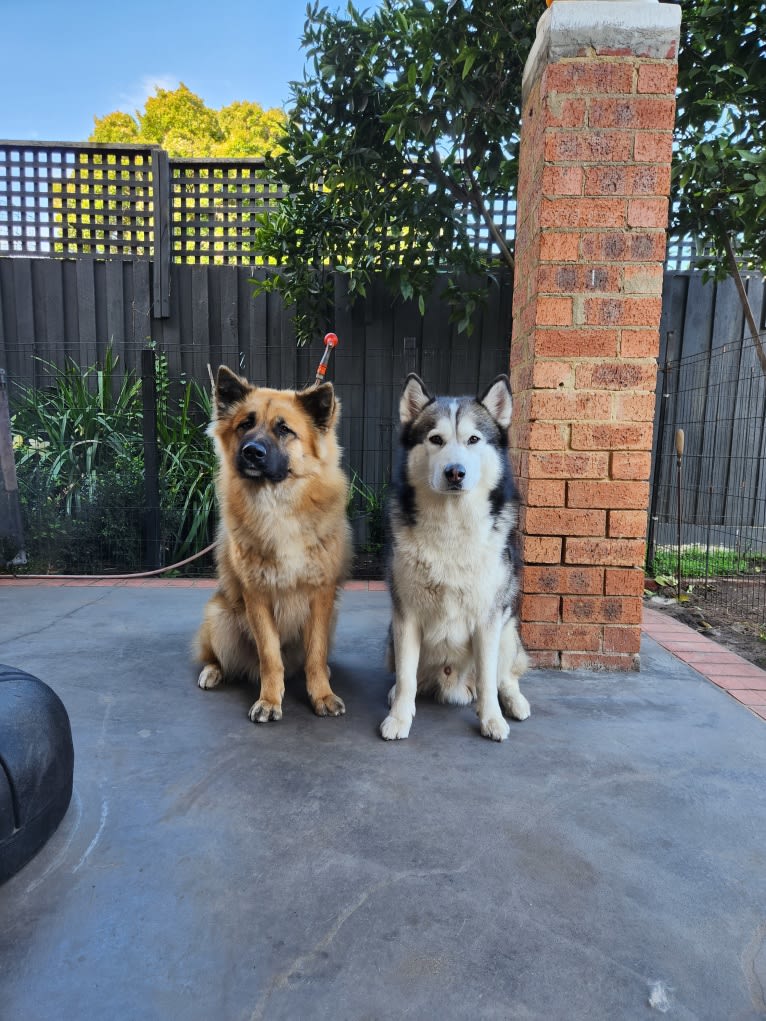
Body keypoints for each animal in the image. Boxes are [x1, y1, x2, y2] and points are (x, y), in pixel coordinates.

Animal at [198, 363, 353, 722]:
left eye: (284, 430)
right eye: (245, 424)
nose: (251, 453)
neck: (278, 504)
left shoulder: (321, 597)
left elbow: (315, 655)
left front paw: (321, 694)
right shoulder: (257, 597)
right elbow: (270, 656)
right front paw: (269, 699)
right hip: (220, 616)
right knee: (218, 657)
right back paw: (213, 671)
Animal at [381, 375, 531, 743]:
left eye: (473, 439)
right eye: (436, 439)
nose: (455, 472)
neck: (451, 525)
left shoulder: (488, 619)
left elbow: (489, 680)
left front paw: (492, 720)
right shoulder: (405, 616)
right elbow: (406, 678)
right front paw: (399, 718)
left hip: (508, 630)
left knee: (504, 676)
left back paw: (515, 702)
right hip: (391, 636)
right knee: (410, 676)